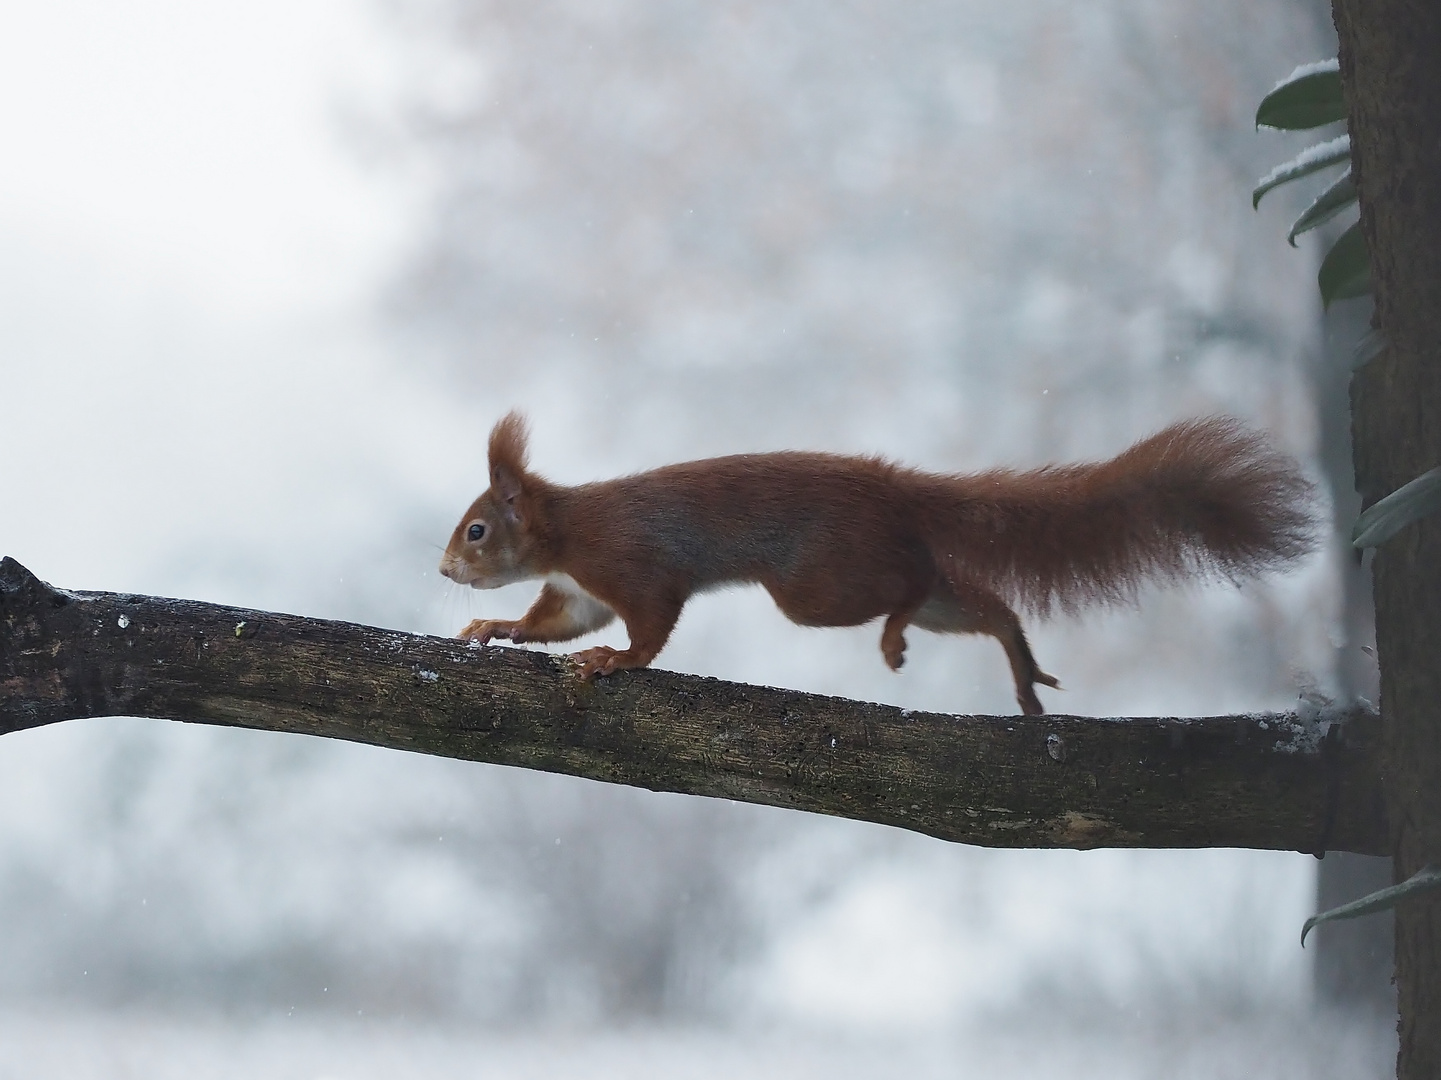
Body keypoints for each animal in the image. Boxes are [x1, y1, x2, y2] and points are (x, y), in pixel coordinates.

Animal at [438, 412, 1319, 715]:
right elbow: (550, 621)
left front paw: (612, 661)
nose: (446, 571)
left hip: (819, 580)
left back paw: (898, 632)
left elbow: (649, 628)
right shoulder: (574, 589)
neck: (564, 533)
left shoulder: (630, 564)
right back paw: (1018, 665)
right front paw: (494, 627)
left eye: (477, 530)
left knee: (914, 583)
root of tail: (895, 489)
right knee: (975, 599)